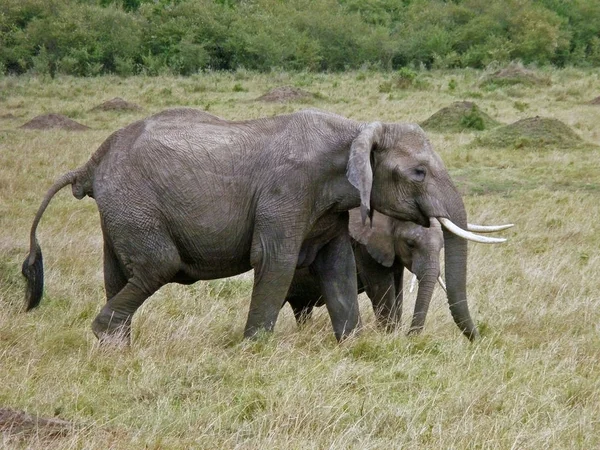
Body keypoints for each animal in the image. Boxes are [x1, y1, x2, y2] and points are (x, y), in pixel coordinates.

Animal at [286, 211, 510, 338]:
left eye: (441, 245)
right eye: (410, 244)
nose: (411, 337)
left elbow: (397, 289)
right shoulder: (364, 248)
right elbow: (381, 289)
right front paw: (389, 336)